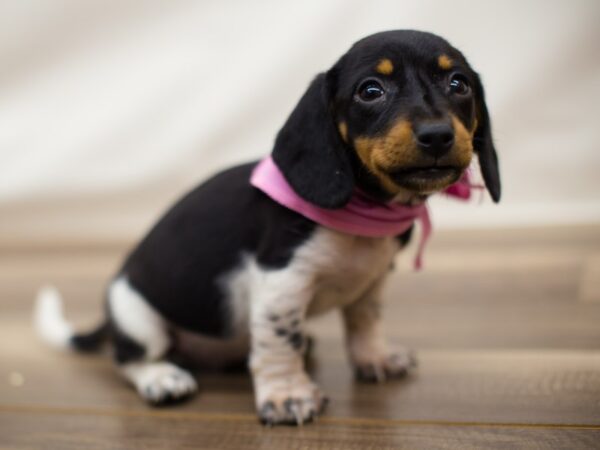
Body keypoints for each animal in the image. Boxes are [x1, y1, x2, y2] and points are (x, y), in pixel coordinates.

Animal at [35, 30, 500, 426]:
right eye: (371, 90)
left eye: (459, 84)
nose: (437, 135)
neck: (364, 210)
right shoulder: (282, 282)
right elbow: (280, 343)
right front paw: (288, 397)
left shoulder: (371, 283)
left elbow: (365, 323)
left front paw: (375, 359)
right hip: (138, 318)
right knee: (128, 358)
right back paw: (161, 378)